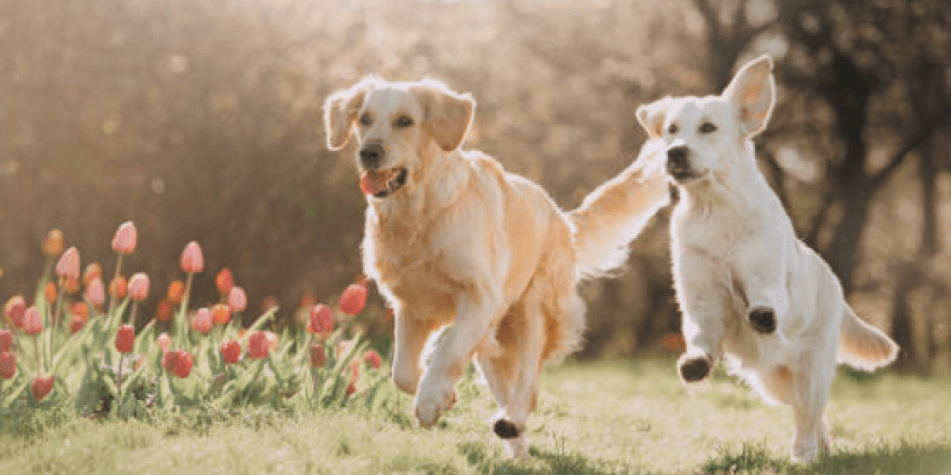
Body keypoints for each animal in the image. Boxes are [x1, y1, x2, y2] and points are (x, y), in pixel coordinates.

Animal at [324, 77, 672, 458]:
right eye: (365, 119)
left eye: (405, 121)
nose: (368, 152)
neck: (421, 212)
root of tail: (561, 218)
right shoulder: (413, 306)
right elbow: (402, 371)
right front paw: (444, 396)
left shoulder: (480, 297)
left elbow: (448, 348)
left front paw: (430, 402)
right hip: (495, 346)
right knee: (506, 389)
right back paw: (516, 450)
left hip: (534, 311)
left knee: (529, 386)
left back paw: (511, 420)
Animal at [640, 54, 900, 462]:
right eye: (671, 129)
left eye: (708, 128)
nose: (675, 152)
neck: (715, 210)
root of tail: (836, 285)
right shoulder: (699, 297)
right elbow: (699, 331)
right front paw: (696, 362)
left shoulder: (766, 275)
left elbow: (765, 296)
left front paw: (761, 314)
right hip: (772, 382)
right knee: (808, 414)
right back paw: (823, 446)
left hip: (811, 372)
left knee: (808, 415)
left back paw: (805, 456)